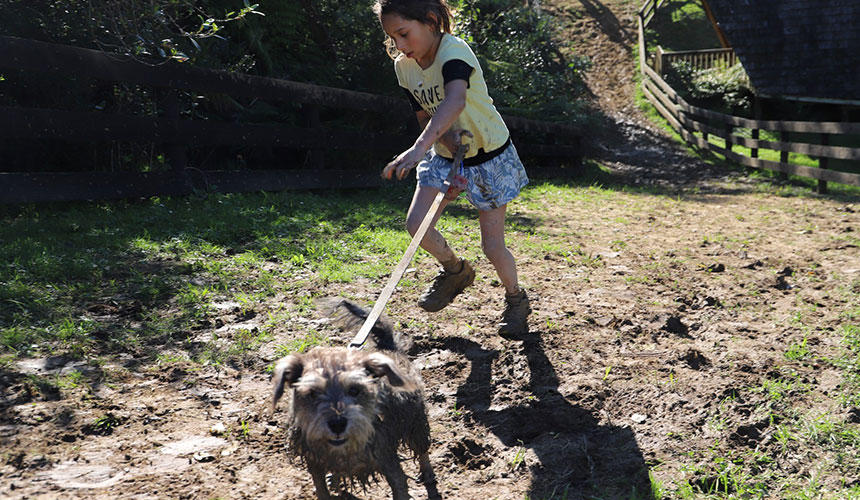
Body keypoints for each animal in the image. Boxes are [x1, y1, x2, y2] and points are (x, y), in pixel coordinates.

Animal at [272, 298, 440, 498]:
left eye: (354, 390)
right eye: (312, 393)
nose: (337, 424)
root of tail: (389, 347)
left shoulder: (387, 461)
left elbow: (400, 487)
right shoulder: (315, 463)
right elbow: (321, 489)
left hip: (416, 421)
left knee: (422, 448)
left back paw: (428, 472)